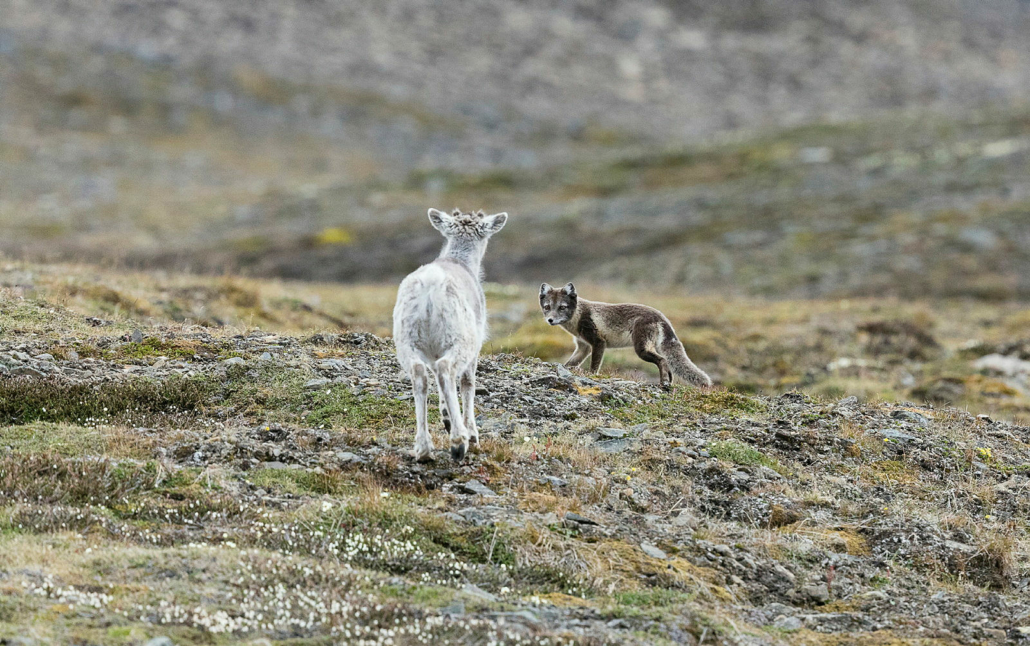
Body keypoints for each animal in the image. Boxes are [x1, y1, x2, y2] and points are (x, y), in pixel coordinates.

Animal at [393, 207, 506, 459]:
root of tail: (430, 285)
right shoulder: (476, 345)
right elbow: (467, 383)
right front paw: (472, 434)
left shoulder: (432, 352)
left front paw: (445, 417)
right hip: (459, 338)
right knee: (446, 370)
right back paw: (458, 442)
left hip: (406, 340)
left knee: (420, 375)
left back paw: (424, 448)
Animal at [535, 284, 712, 389]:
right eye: (547, 307)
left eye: (562, 307)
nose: (550, 320)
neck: (578, 316)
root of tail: (661, 316)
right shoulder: (583, 346)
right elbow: (570, 363)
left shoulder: (598, 342)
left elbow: (594, 366)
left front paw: (592, 377)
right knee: (667, 363)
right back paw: (669, 382)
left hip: (641, 349)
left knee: (662, 360)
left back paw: (663, 383)